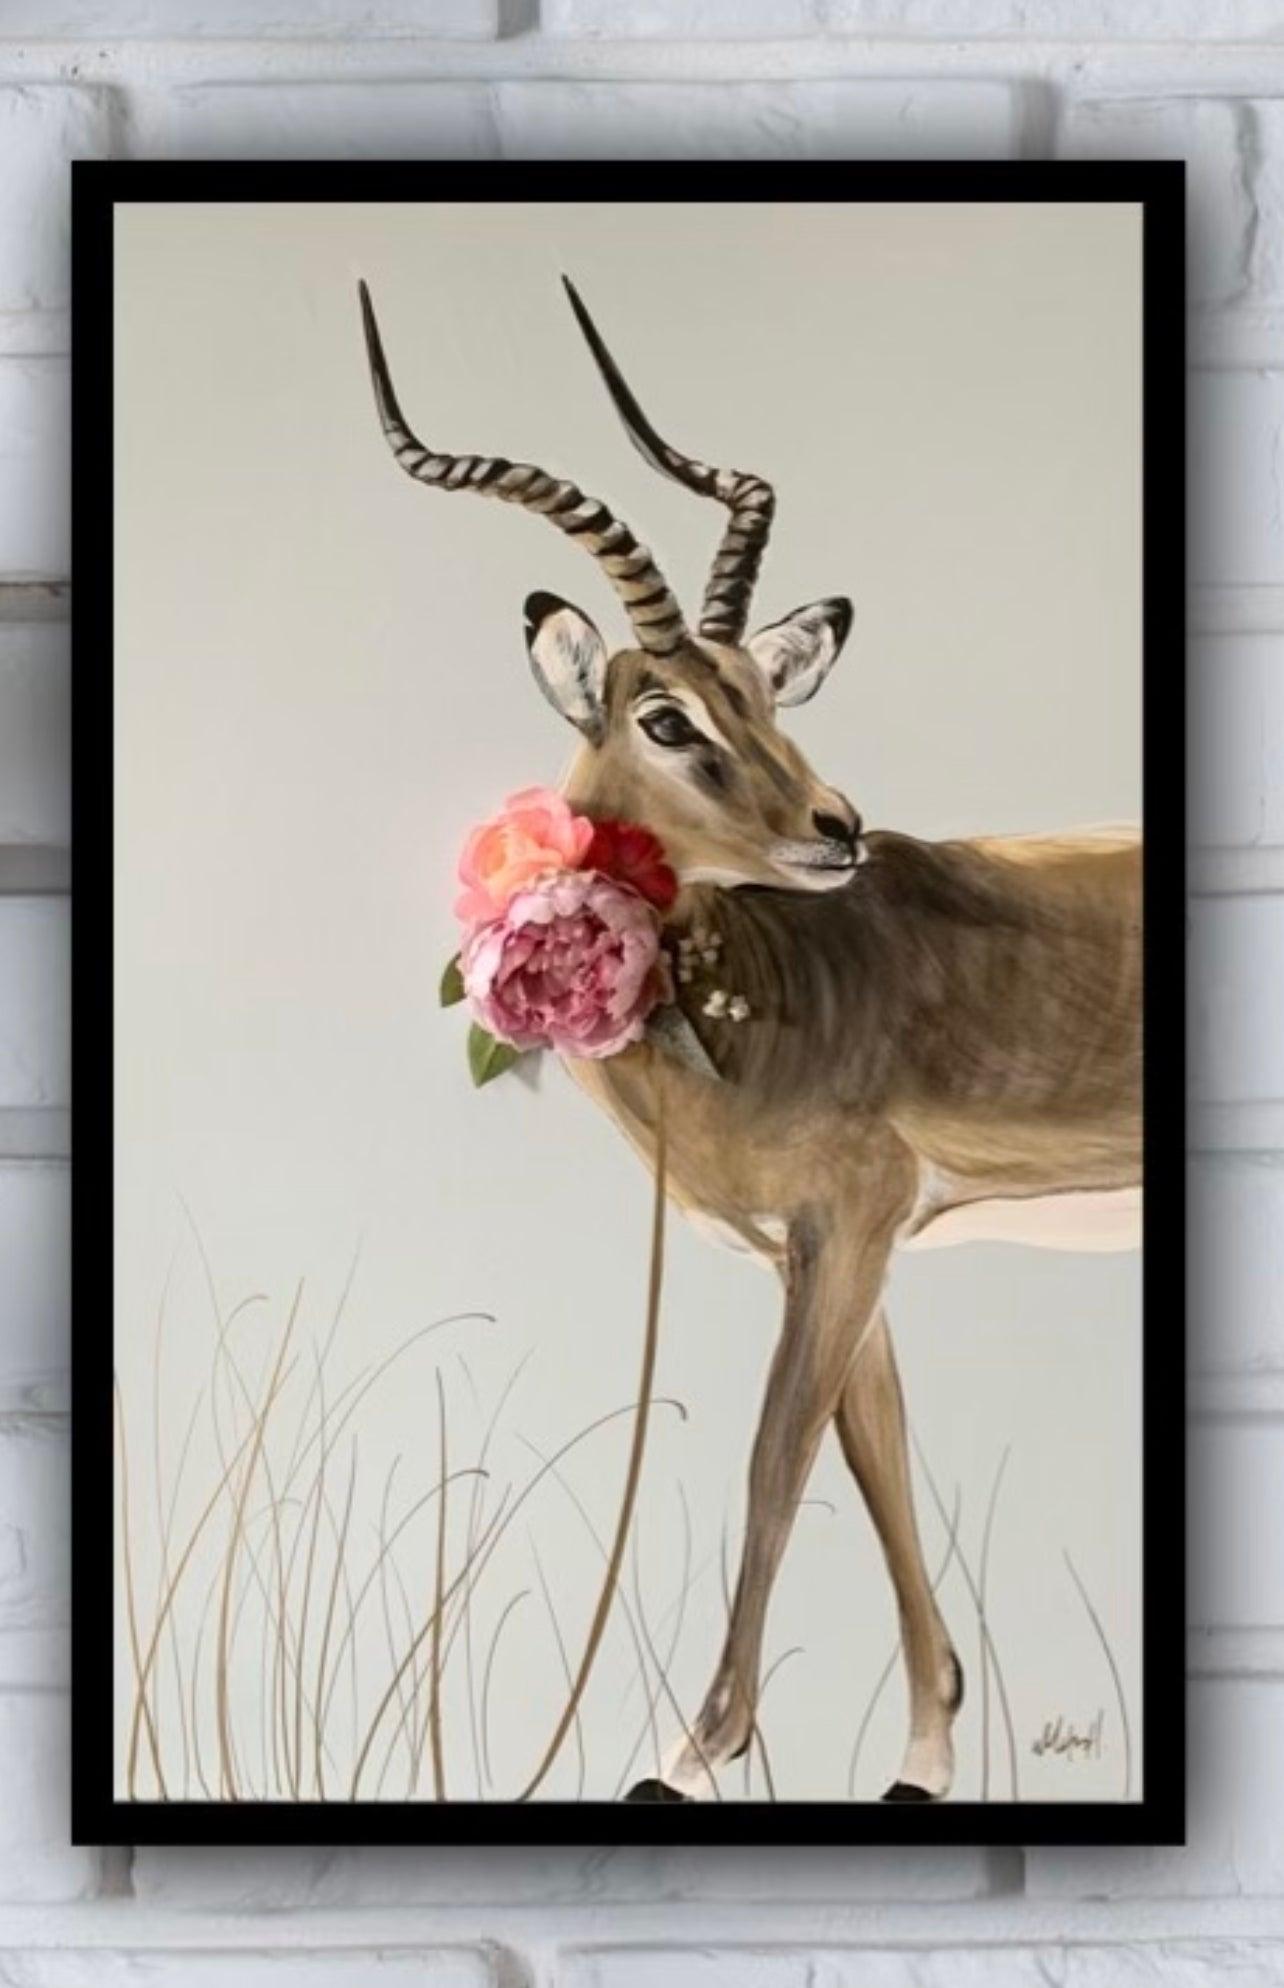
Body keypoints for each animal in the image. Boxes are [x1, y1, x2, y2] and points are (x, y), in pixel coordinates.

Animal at [358, 278, 1142, 1804]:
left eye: (769, 696)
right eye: (665, 712)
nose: (837, 826)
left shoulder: (851, 1222)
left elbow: (776, 1460)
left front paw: (683, 1751)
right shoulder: (840, 1243)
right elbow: (875, 1456)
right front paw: (924, 1754)